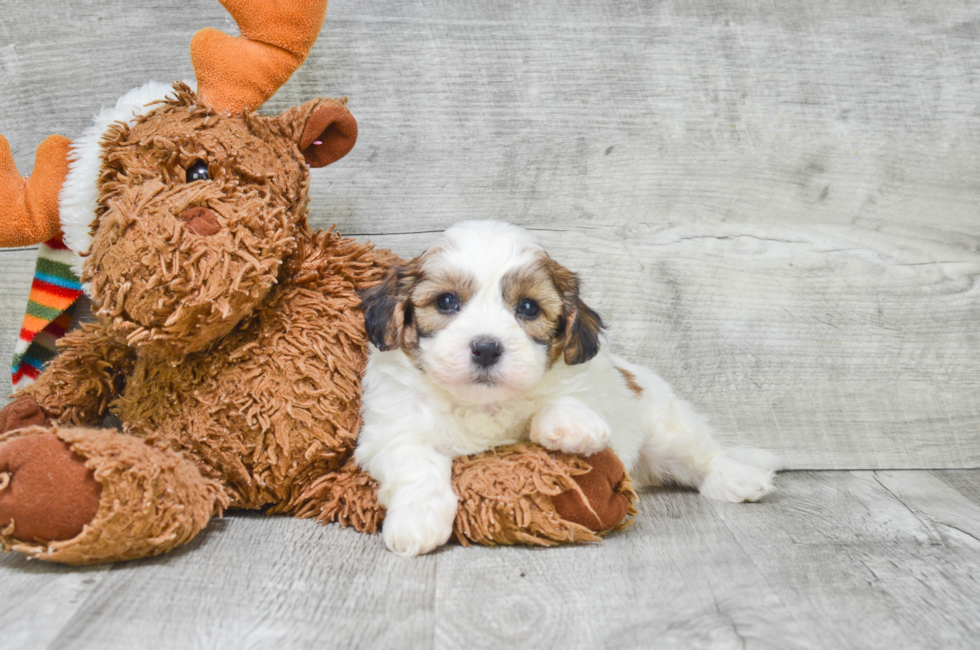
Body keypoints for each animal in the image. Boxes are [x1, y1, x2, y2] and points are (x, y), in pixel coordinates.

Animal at [356, 220, 776, 556]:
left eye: (528, 308)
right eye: (446, 301)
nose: (487, 348)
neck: (483, 404)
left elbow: (566, 398)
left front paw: (573, 426)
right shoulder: (391, 433)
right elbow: (418, 464)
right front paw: (417, 522)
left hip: (666, 430)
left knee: (704, 457)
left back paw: (740, 478)